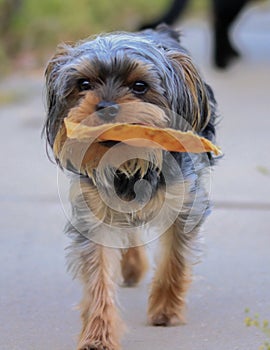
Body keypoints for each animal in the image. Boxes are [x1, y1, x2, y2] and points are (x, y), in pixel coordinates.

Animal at [43, 25, 218, 350]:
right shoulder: (93, 216)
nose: (105, 108)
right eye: (83, 84)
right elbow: (98, 279)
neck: (130, 164)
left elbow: (174, 261)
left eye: (140, 86)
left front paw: (165, 310)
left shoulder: (185, 205)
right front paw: (97, 336)